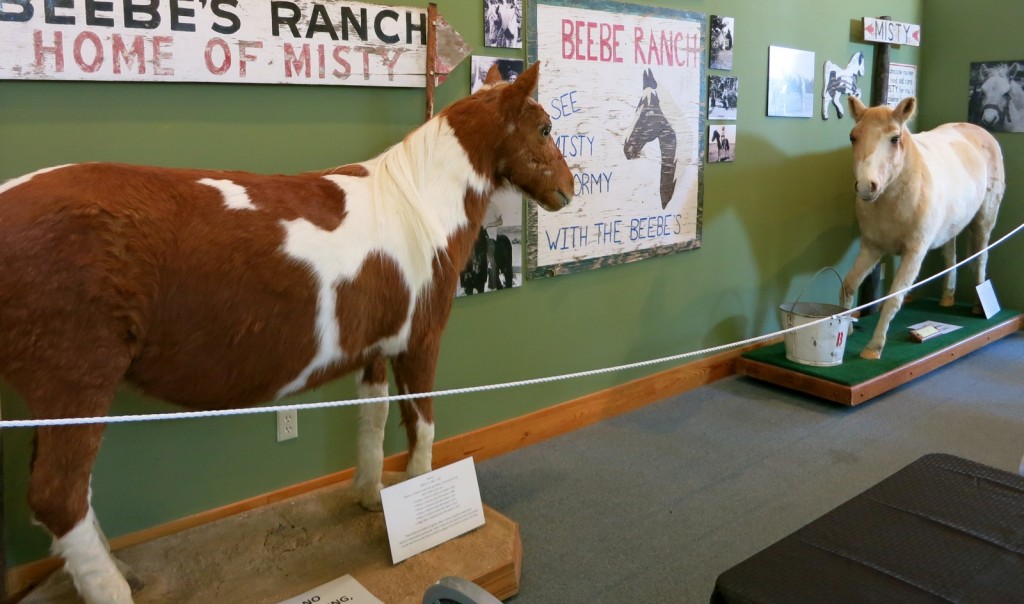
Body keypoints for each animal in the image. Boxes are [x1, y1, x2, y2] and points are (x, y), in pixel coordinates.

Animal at [0, 62, 577, 604]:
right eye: (545, 128)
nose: (569, 189)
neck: (416, 205)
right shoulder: (421, 341)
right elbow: (422, 425)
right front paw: (425, 506)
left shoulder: (373, 347)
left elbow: (372, 418)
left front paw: (371, 497)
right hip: (76, 381)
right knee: (59, 497)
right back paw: (114, 588)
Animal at [839, 94, 1007, 360]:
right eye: (853, 137)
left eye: (895, 138)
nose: (866, 186)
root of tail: (980, 132)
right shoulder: (872, 248)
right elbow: (849, 284)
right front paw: (845, 328)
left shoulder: (914, 253)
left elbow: (894, 298)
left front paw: (874, 347)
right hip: (951, 226)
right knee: (950, 254)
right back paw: (947, 297)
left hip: (984, 220)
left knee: (980, 256)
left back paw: (980, 306)